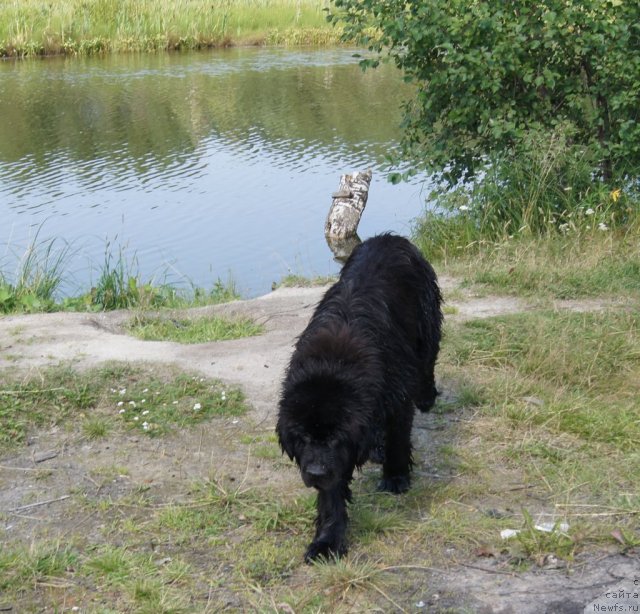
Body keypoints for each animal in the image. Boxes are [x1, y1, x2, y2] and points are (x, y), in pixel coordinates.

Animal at [278, 235, 442, 564]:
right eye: (303, 438)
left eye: (335, 437)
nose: (314, 473)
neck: (334, 362)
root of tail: (390, 237)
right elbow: (331, 495)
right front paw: (326, 542)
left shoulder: (396, 395)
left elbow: (398, 438)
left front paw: (396, 477)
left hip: (428, 321)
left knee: (428, 362)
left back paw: (427, 397)